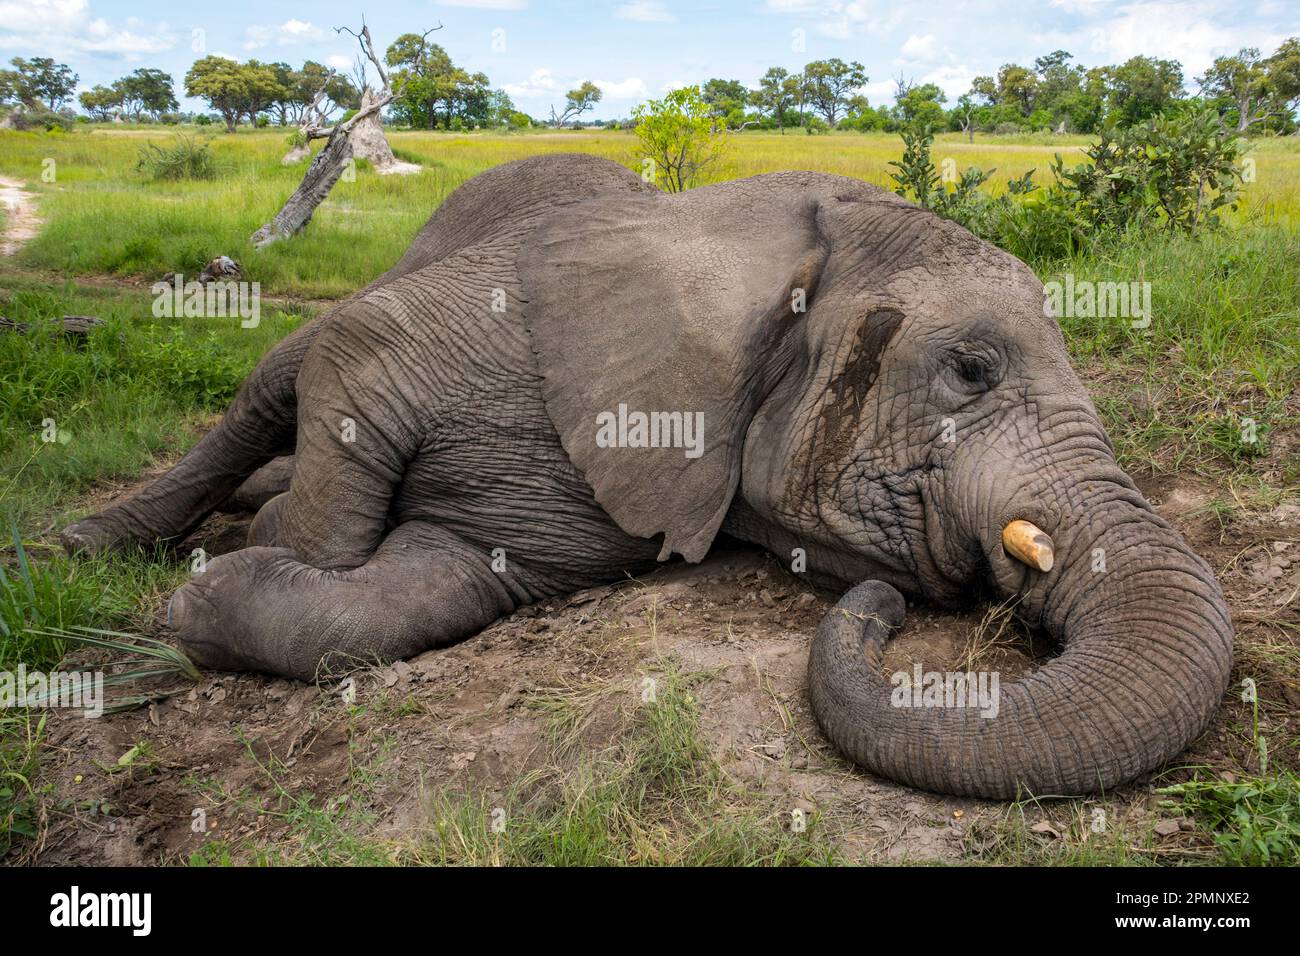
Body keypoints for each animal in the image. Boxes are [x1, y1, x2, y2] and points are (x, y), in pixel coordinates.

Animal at [63, 155, 1237, 801]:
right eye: (971, 368)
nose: (884, 605)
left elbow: (419, 593)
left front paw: (218, 586)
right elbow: (348, 382)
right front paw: (230, 563)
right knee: (278, 374)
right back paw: (85, 543)